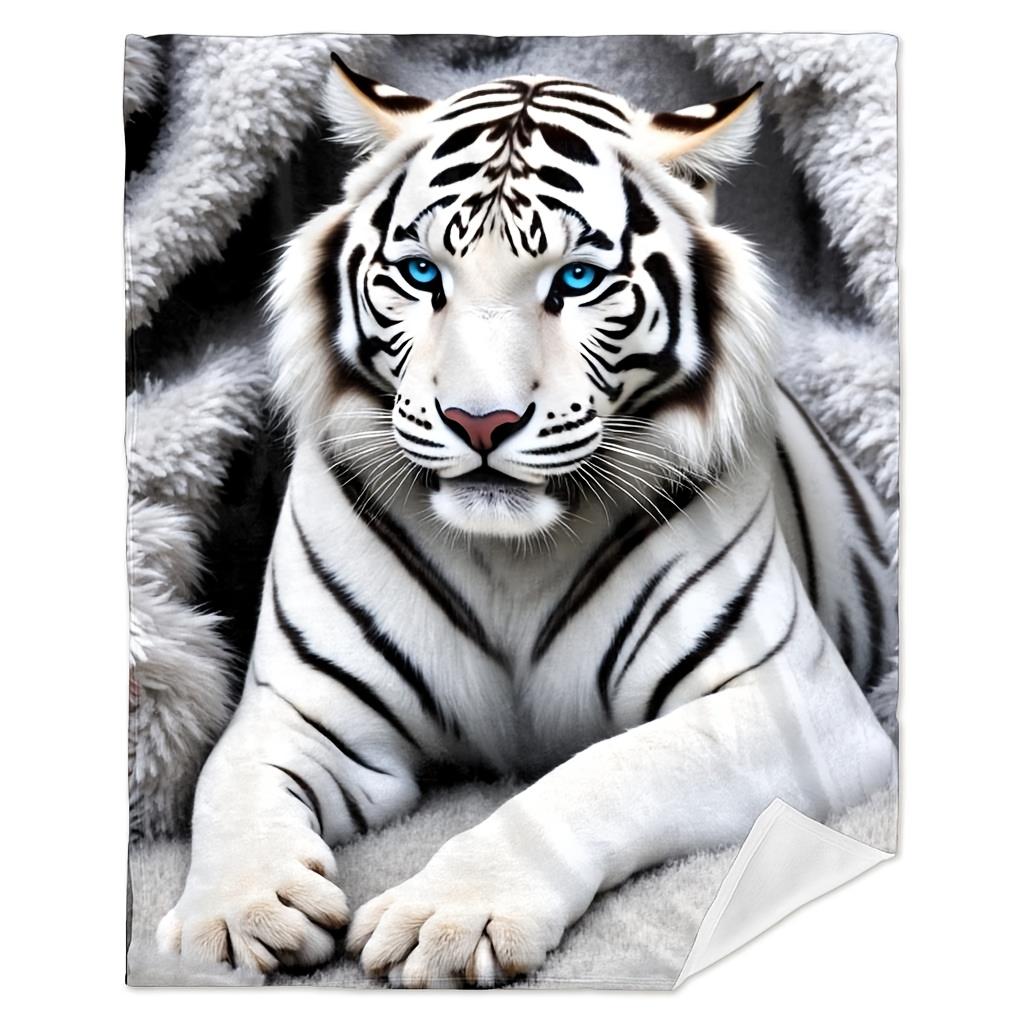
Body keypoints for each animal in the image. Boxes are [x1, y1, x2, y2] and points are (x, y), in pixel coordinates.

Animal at [156, 54, 897, 987]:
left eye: (575, 281)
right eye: (423, 275)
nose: (481, 422)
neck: (511, 555)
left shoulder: (792, 702)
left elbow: (601, 773)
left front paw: (451, 915)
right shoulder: (303, 708)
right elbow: (227, 783)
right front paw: (231, 918)